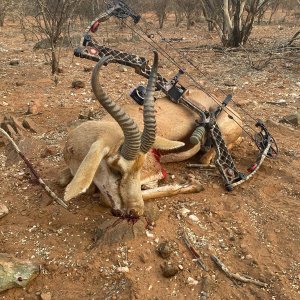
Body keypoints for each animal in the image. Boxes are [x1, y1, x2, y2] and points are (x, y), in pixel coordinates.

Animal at [59, 51, 243, 216]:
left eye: (140, 167)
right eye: (116, 170)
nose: (135, 212)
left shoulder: (154, 172)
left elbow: (106, 198)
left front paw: (193, 183)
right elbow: (62, 179)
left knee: (210, 156)